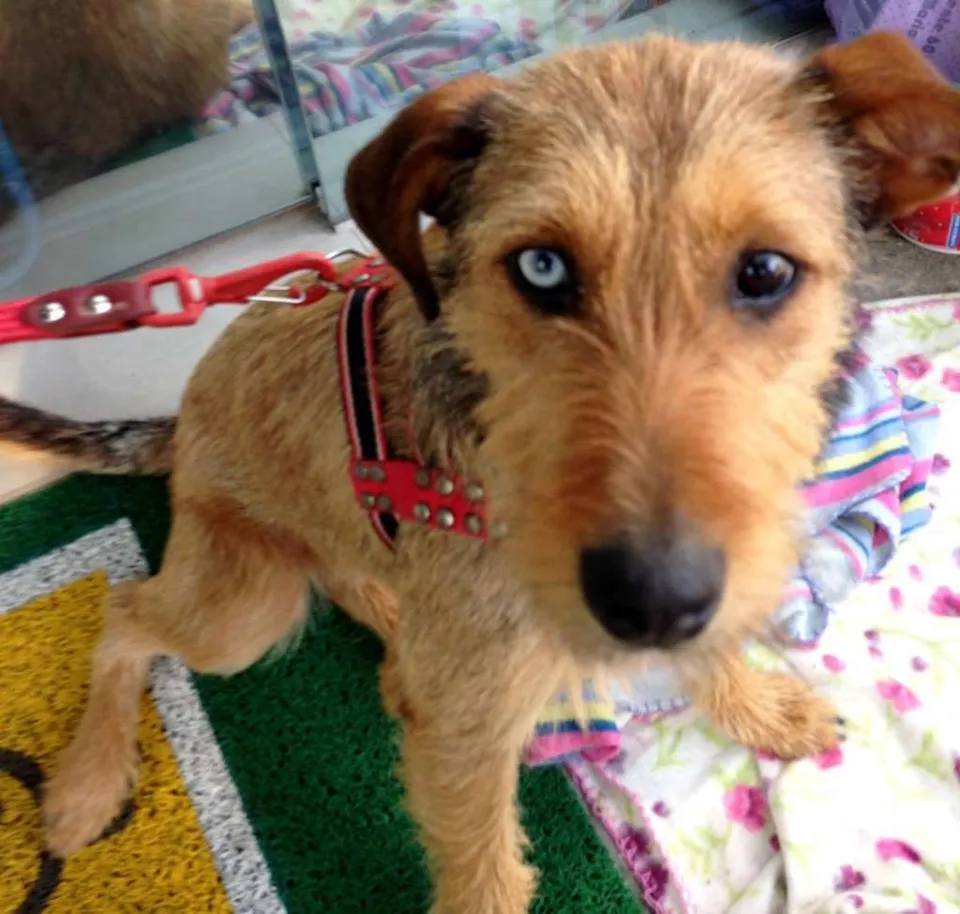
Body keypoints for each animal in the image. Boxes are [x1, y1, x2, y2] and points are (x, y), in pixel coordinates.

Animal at [2, 30, 959, 914]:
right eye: (542, 267)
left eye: (765, 270)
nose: (650, 602)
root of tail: (180, 418)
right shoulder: (467, 735)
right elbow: (481, 869)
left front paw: (758, 706)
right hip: (242, 609)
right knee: (128, 613)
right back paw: (85, 785)